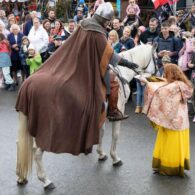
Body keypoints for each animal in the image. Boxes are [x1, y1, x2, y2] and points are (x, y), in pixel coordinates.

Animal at [16, 43, 157, 190]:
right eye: (156, 57)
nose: (155, 75)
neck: (122, 73)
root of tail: (27, 85)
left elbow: (101, 132)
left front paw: (101, 154)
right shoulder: (119, 109)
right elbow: (115, 135)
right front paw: (115, 158)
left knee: (21, 145)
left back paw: (21, 177)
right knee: (37, 152)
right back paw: (46, 180)